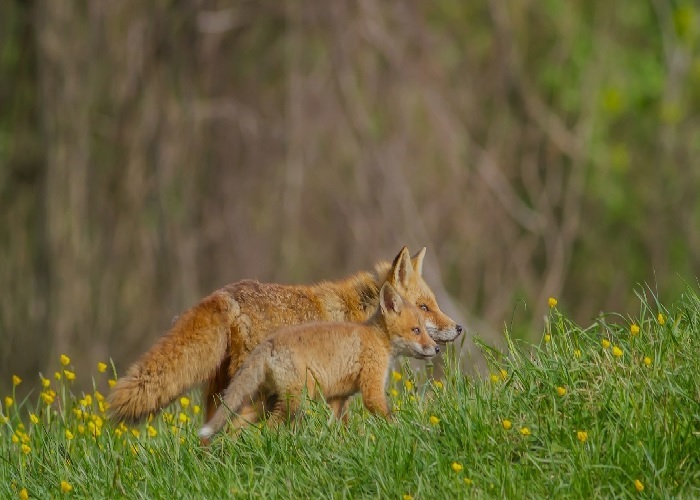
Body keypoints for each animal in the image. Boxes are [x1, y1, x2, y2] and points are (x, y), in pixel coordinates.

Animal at [106, 246, 462, 426]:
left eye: (432, 305)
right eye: (424, 309)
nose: (458, 328)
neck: (360, 318)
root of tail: (223, 294)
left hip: (224, 392)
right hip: (255, 392)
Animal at [197, 282, 438, 442]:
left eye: (424, 330)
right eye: (416, 331)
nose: (436, 348)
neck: (377, 339)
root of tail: (270, 342)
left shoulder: (338, 398)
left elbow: (334, 426)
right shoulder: (372, 390)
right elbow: (390, 417)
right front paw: (411, 432)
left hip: (265, 402)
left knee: (235, 425)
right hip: (296, 401)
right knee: (270, 427)